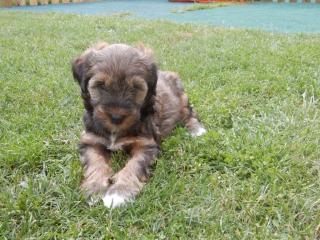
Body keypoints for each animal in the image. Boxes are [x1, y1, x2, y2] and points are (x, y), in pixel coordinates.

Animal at [71, 42, 206, 207]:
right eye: (100, 85)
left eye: (135, 87)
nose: (116, 117)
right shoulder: (91, 141)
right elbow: (95, 163)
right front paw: (94, 188)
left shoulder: (146, 145)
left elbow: (134, 166)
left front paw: (119, 192)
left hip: (182, 98)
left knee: (190, 113)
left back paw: (196, 130)